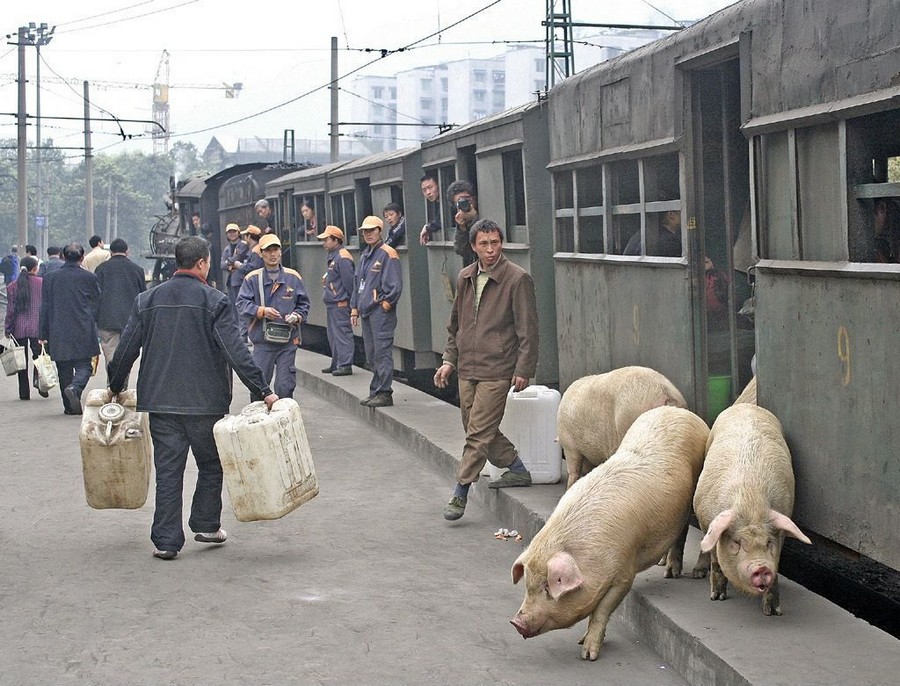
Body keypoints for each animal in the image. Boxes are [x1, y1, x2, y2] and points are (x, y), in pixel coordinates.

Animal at [510, 408, 708, 660]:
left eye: (548, 586)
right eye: (528, 585)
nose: (516, 622)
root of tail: (681, 411)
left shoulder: (624, 572)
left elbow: (601, 610)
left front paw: (588, 654)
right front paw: (582, 642)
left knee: (681, 535)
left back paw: (671, 573)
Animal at [692, 404, 812, 620]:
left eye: (769, 542)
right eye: (737, 543)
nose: (761, 567)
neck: (750, 504)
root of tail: (746, 405)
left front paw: (773, 613)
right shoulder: (707, 521)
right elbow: (715, 559)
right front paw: (717, 598)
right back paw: (698, 575)